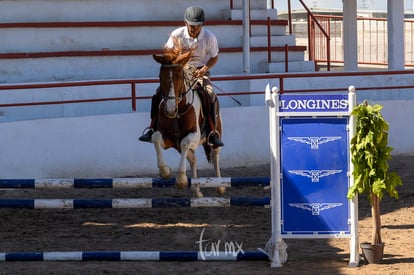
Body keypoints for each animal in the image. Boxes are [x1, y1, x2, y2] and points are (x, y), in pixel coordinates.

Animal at [151, 48, 225, 198]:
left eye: (180, 77)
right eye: (160, 77)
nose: (170, 110)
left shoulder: (194, 137)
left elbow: (185, 143)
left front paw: (181, 180)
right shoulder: (169, 140)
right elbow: (155, 137)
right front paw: (165, 171)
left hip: (216, 136)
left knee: (215, 157)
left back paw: (220, 186)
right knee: (193, 159)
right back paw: (196, 190)